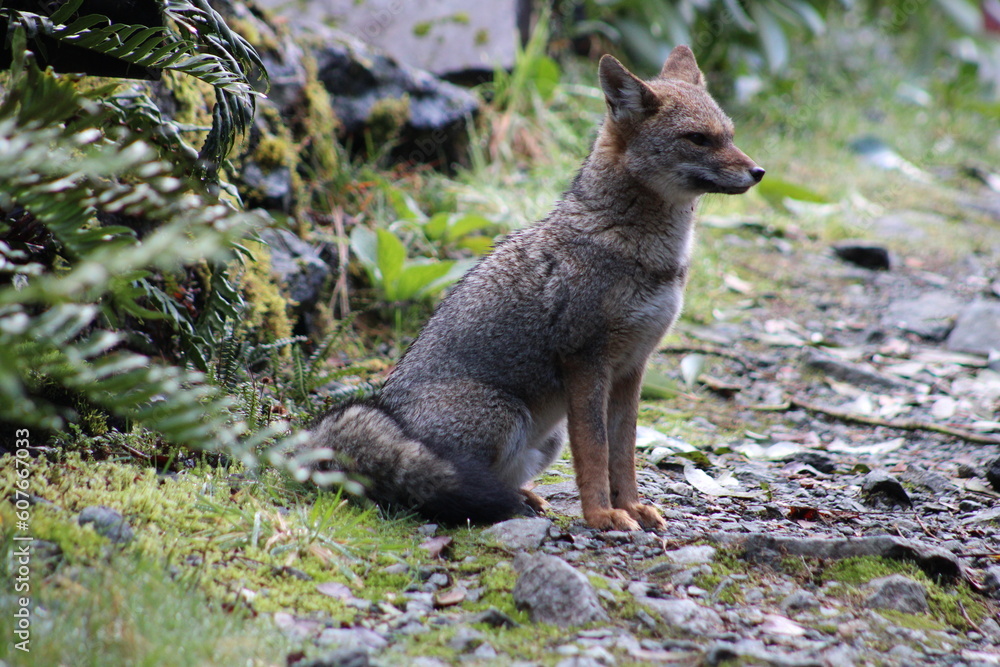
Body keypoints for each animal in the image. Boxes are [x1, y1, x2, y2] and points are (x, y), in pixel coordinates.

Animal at [301, 45, 764, 531]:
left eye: (730, 136)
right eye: (698, 139)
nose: (759, 171)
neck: (643, 250)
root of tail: (390, 415)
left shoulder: (631, 369)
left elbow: (623, 454)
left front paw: (632, 506)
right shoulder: (585, 363)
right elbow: (595, 452)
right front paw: (602, 514)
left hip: (547, 437)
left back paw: (523, 498)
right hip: (507, 417)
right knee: (439, 488)